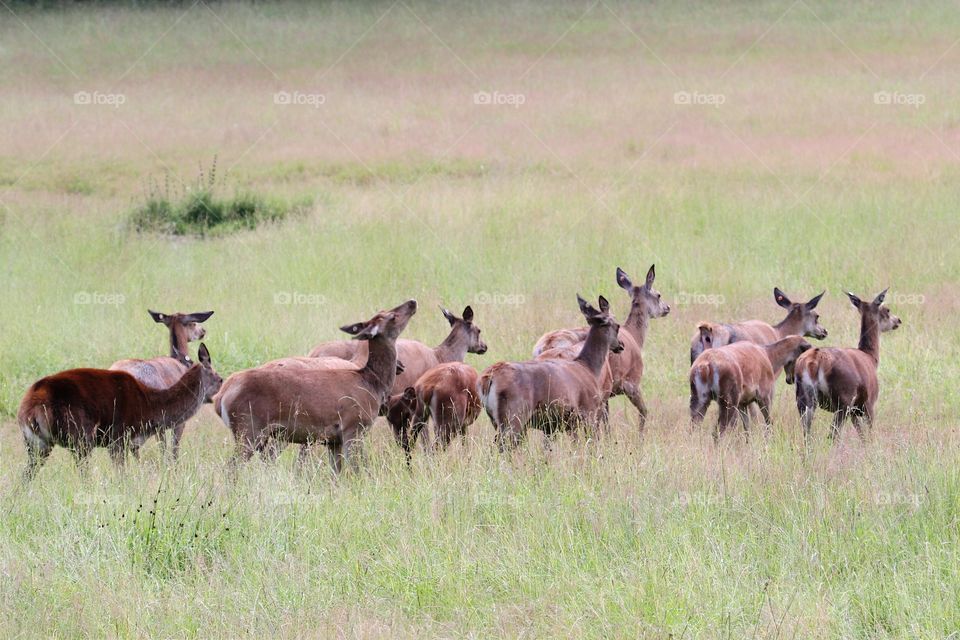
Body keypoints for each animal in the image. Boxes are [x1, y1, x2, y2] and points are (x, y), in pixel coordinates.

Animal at [18, 344, 222, 479]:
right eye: (219, 378)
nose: (219, 397)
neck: (150, 409)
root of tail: (29, 408)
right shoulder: (118, 437)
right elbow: (122, 474)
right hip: (80, 436)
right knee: (84, 476)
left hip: (36, 443)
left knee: (26, 476)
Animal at [214, 300, 417, 471]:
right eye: (393, 316)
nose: (412, 302)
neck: (372, 383)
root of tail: (221, 396)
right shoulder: (354, 425)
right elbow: (358, 469)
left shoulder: (333, 440)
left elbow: (337, 473)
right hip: (248, 428)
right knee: (231, 468)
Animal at [480, 295, 624, 450]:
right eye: (617, 326)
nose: (621, 345)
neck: (589, 368)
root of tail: (488, 379)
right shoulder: (589, 410)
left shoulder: (557, 424)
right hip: (515, 415)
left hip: (497, 420)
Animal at [532, 265, 669, 429]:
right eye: (658, 295)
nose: (667, 307)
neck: (634, 336)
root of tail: (544, 346)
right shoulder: (631, 382)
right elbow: (643, 412)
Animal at [795, 289, 901, 441]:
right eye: (887, 310)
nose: (898, 320)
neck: (871, 358)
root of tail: (815, 360)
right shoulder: (869, 403)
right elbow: (868, 434)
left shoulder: (854, 411)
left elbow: (861, 434)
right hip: (844, 398)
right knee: (833, 434)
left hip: (803, 398)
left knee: (807, 433)